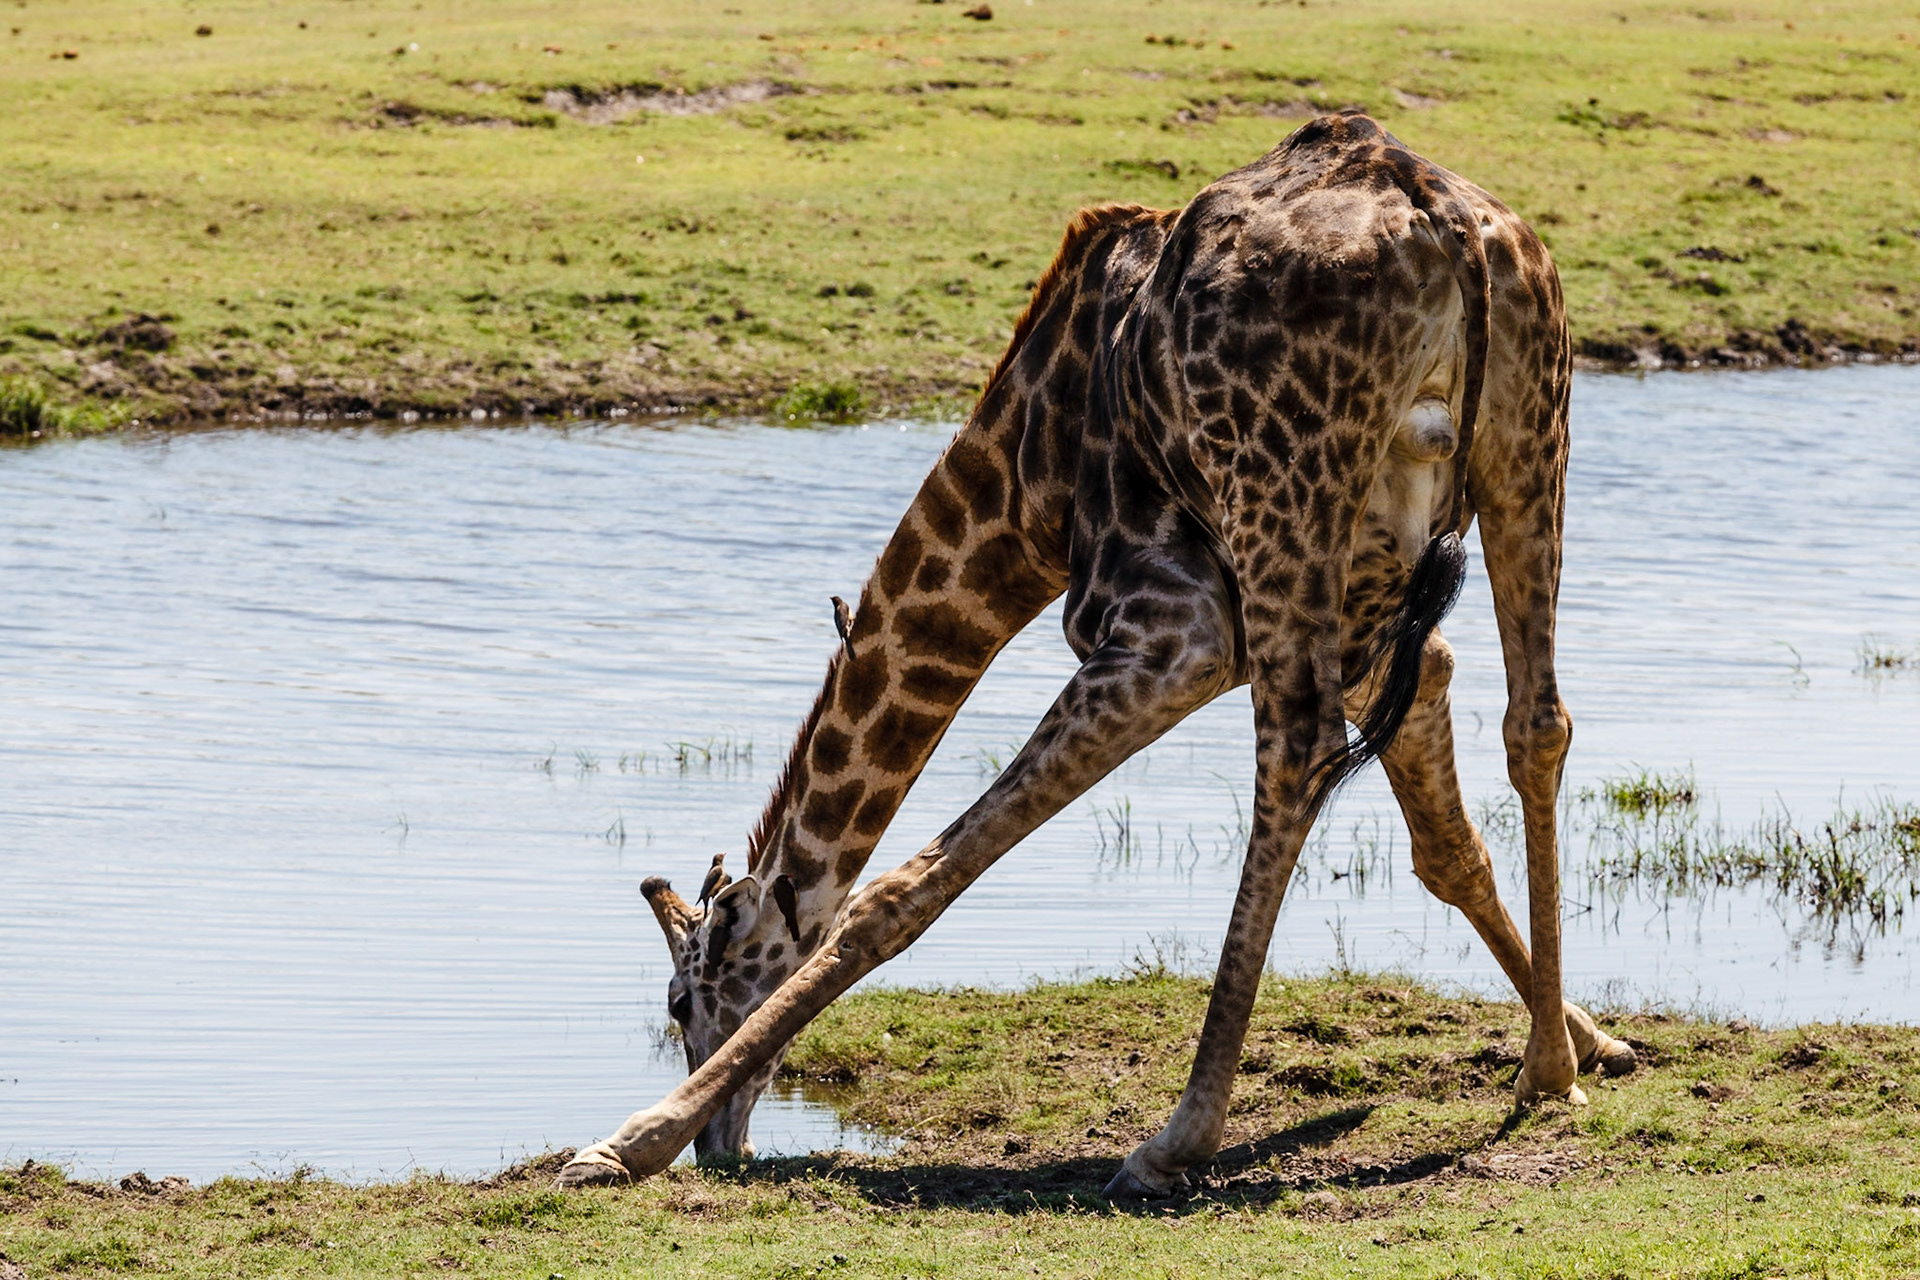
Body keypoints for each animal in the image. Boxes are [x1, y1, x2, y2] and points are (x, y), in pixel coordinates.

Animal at [557, 111, 1638, 1197]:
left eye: (681, 999)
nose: (720, 1142)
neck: (1023, 488)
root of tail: (1439, 212)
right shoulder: (1384, 624)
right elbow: (1447, 844)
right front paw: (1587, 1039)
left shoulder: (1176, 631)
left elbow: (898, 890)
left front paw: (624, 1140)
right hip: (1526, 433)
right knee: (1538, 721)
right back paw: (1546, 1071)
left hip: (1288, 498)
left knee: (1296, 753)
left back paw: (1176, 1137)